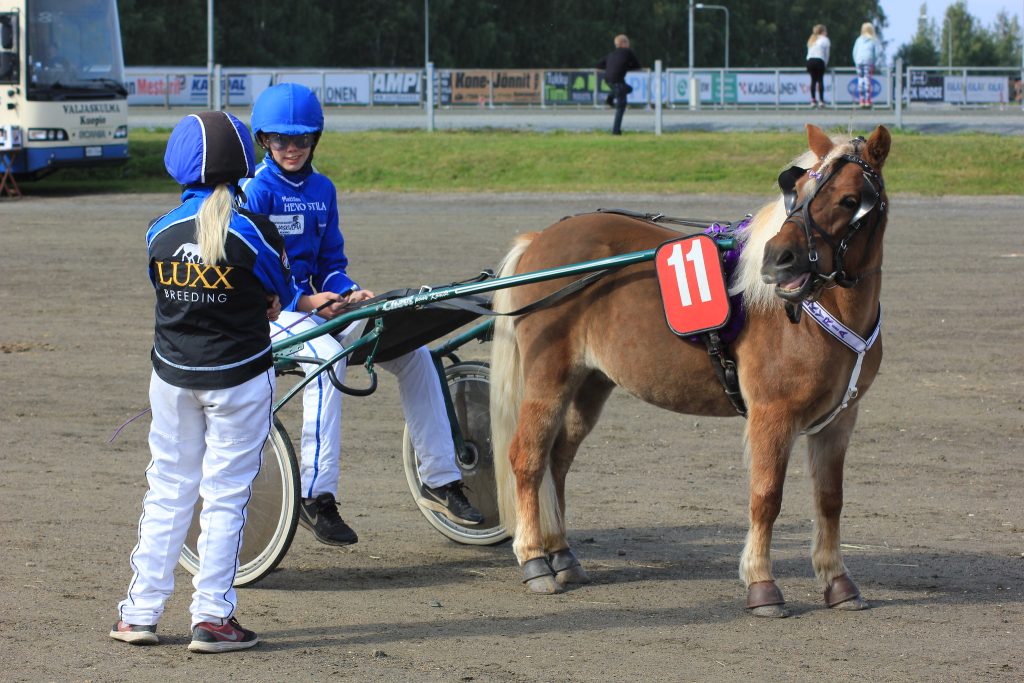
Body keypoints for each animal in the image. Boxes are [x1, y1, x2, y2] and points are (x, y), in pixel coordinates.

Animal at [491, 124, 892, 618]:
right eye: (795, 191)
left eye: (851, 199)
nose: (779, 258)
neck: (813, 312)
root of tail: (540, 239)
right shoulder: (772, 414)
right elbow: (766, 497)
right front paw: (762, 586)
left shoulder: (839, 419)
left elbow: (830, 499)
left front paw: (839, 583)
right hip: (549, 377)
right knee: (527, 457)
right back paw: (534, 561)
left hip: (590, 384)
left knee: (557, 459)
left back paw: (562, 554)